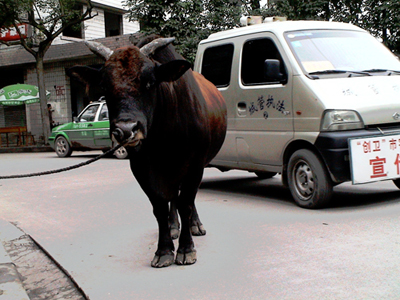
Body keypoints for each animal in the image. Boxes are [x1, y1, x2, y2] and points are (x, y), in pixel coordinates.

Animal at [67, 36, 227, 268]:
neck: (164, 135)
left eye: (150, 83)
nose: (126, 129)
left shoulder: (195, 165)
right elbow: (160, 206)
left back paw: (195, 225)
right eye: (105, 85)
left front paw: (186, 249)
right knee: (173, 198)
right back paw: (173, 226)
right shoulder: (141, 168)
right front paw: (164, 250)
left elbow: (186, 204)